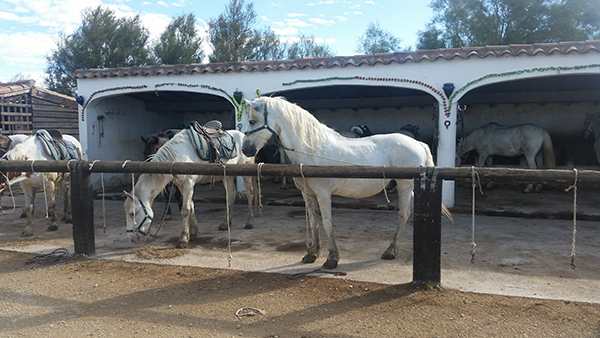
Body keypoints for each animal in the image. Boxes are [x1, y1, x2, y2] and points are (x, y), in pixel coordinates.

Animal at [125, 128, 256, 247]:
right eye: (144, 152)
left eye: (132, 213)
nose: (132, 238)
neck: (177, 156)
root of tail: (243, 136)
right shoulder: (182, 185)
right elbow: (191, 206)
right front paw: (193, 232)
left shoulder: (189, 183)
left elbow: (185, 210)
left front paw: (183, 238)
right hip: (227, 176)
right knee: (231, 195)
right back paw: (226, 223)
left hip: (246, 173)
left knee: (250, 194)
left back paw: (249, 222)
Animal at [241, 97, 448, 270]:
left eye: (251, 121)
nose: (245, 149)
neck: (311, 150)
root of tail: (417, 143)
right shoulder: (308, 194)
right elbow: (314, 222)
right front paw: (312, 253)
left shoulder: (323, 194)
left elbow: (327, 223)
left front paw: (332, 258)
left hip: (404, 185)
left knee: (403, 215)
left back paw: (390, 251)